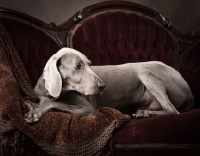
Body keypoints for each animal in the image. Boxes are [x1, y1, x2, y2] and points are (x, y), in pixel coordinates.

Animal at [24, 47, 193, 123]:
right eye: (78, 66)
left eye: (89, 64)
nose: (102, 86)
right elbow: (46, 102)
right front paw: (33, 105)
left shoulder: (88, 108)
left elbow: (56, 104)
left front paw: (35, 112)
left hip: (146, 71)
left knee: (172, 110)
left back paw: (144, 112)